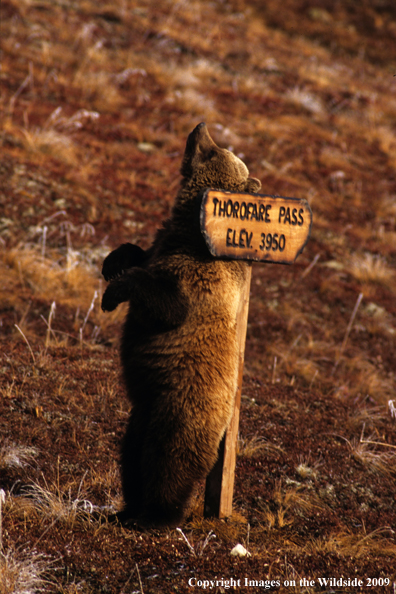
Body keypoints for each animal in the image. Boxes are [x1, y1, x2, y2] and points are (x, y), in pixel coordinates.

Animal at [101, 121, 260, 528]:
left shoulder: (201, 278)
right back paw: (126, 510)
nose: (200, 125)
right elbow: (139, 254)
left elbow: (168, 304)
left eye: (214, 151)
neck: (192, 229)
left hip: (183, 405)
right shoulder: (165, 244)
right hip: (142, 410)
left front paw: (114, 292)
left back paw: (156, 515)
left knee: (169, 458)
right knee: (131, 452)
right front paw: (113, 262)